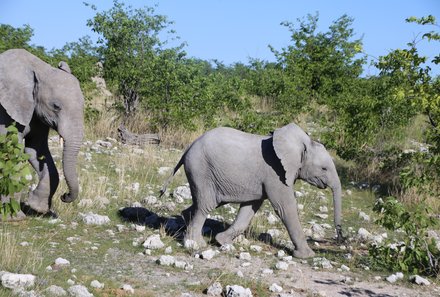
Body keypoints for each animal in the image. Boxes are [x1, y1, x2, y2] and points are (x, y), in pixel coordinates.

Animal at [0, 49, 85, 217]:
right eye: (56, 106)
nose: (64, 195)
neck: (40, 69)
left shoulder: (36, 113)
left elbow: (36, 149)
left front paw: (38, 207)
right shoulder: (5, 111)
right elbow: (12, 149)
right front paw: (13, 217)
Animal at [162, 122, 344, 256]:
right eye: (324, 169)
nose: (341, 238)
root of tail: (189, 147)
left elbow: (249, 209)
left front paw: (222, 241)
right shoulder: (276, 173)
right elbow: (285, 208)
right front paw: (307, 255)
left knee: (203, 203)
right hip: (201, 170)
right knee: (205, 205)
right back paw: (195, 244)